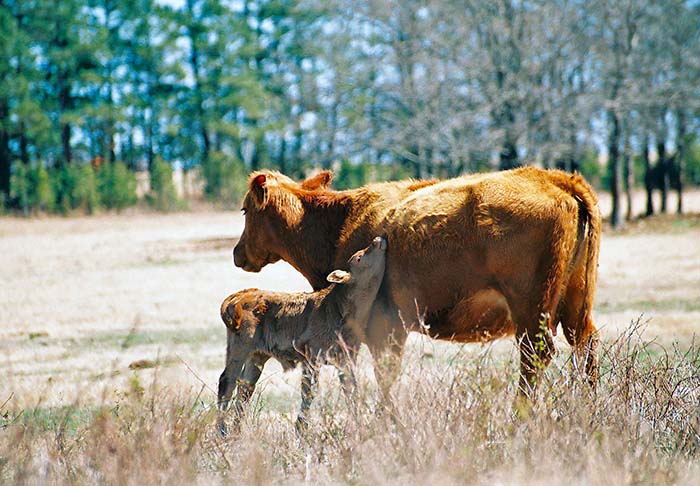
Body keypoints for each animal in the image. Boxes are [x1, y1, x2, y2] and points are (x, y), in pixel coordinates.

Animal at [219, 235, 388, 432]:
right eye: (359, 258)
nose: (378, 239)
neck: (336, 306)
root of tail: (238, 296)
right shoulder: (312, 359)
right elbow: (309, 392)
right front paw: (301, 428)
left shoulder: (346, 359)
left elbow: (351, 390)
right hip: (239, 350)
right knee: (227, 383)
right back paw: (222, 431)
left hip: (257, 357)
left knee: (244, 389)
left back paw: (236, 432)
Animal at [231, 167, 600, 398]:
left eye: (246, 210)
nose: (237, 253)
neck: (342, 221)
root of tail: (555, 178)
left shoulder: (384, 329)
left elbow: (385, 378)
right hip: (575, 307)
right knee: (586, 345)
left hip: (530, 310)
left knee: (535, 356)